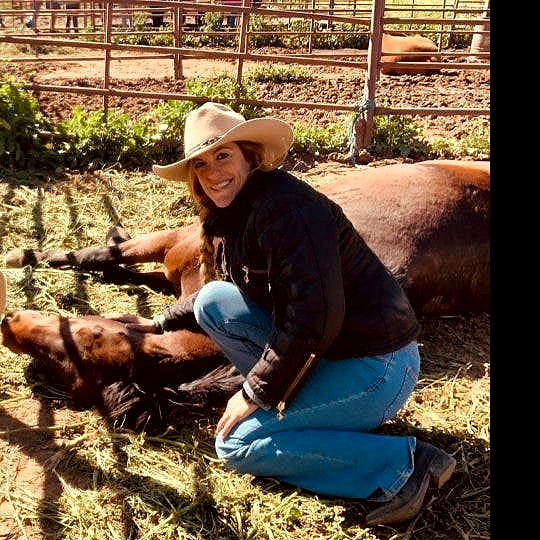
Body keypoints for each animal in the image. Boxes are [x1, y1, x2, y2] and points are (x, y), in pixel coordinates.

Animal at [0, 159, 490, 434]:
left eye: (87, 341)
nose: (11, 326)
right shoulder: (171, 252)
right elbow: (109, 260)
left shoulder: (172, 240)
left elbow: (100, 256)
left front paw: (23, 254)